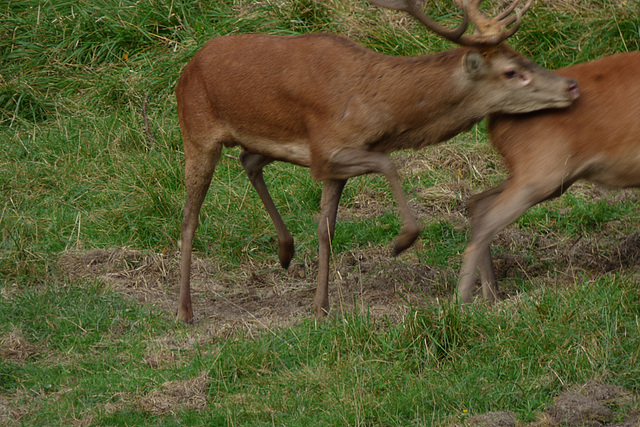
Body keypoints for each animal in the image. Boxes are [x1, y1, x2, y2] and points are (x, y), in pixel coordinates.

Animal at [174, 0, 580, 320]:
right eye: (511, 72)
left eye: (524, 57)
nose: (571, 85)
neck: (378, 105)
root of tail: (187, 68)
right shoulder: (327, 150)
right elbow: (388, 164)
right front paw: (402, 241)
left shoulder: (328, 162)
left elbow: (326, 229)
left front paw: (320, 307)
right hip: (196, 133)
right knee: (189, 219)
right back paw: (185, 310)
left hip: (262, 143)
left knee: (248, 159)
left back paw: (285, 251)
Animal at [456, 50, 640, 304]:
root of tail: (494, 120)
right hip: (542, 171)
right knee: (487, 219)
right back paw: (461, 302)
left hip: (546, 175)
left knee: (478, 202)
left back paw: (491, 296)